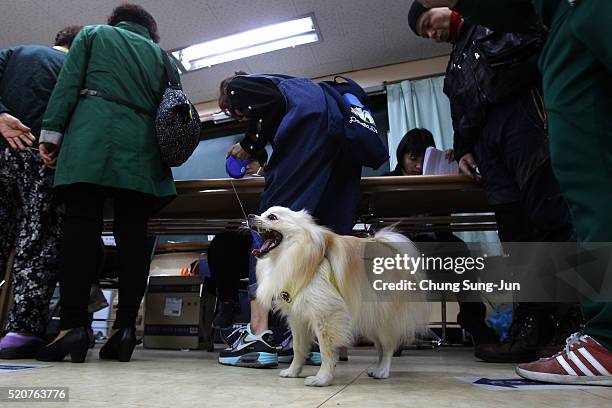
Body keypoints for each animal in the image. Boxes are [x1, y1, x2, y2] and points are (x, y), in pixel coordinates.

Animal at [250, 207, 430, 386]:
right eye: (262, 213)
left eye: (272, 217)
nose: (250, 216)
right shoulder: (297, 318)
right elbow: (298, 348)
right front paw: (293, 371)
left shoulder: (326, 316)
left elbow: (327, 352)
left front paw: (322, 379)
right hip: (370, 320)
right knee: (380, 346)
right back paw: (376, 368)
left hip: (381, 319)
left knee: (387, 347)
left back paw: (382, 371)